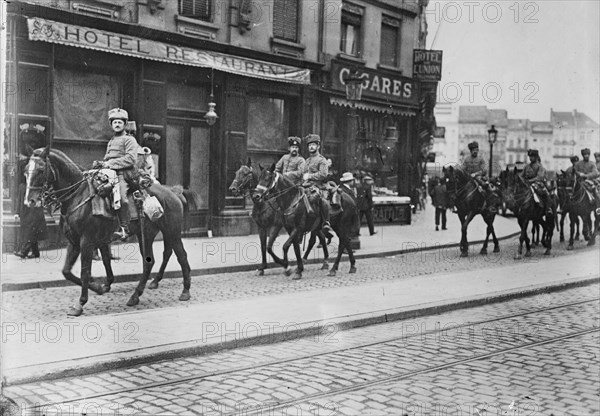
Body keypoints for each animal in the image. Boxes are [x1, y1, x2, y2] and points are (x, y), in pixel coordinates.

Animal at [24, 149, 190, 316]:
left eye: (41, 170)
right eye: (25, 171)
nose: (29, 201)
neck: (78, 197)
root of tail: (173, 192)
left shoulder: (86, 241)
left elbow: (85, 271)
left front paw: (80, 304)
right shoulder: (74, 241)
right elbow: (68, 271)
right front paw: (99, 287)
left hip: (172, 232)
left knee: (180, 256)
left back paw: (185, 291)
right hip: (147, 235)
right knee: (151, 261)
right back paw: (137, 295)